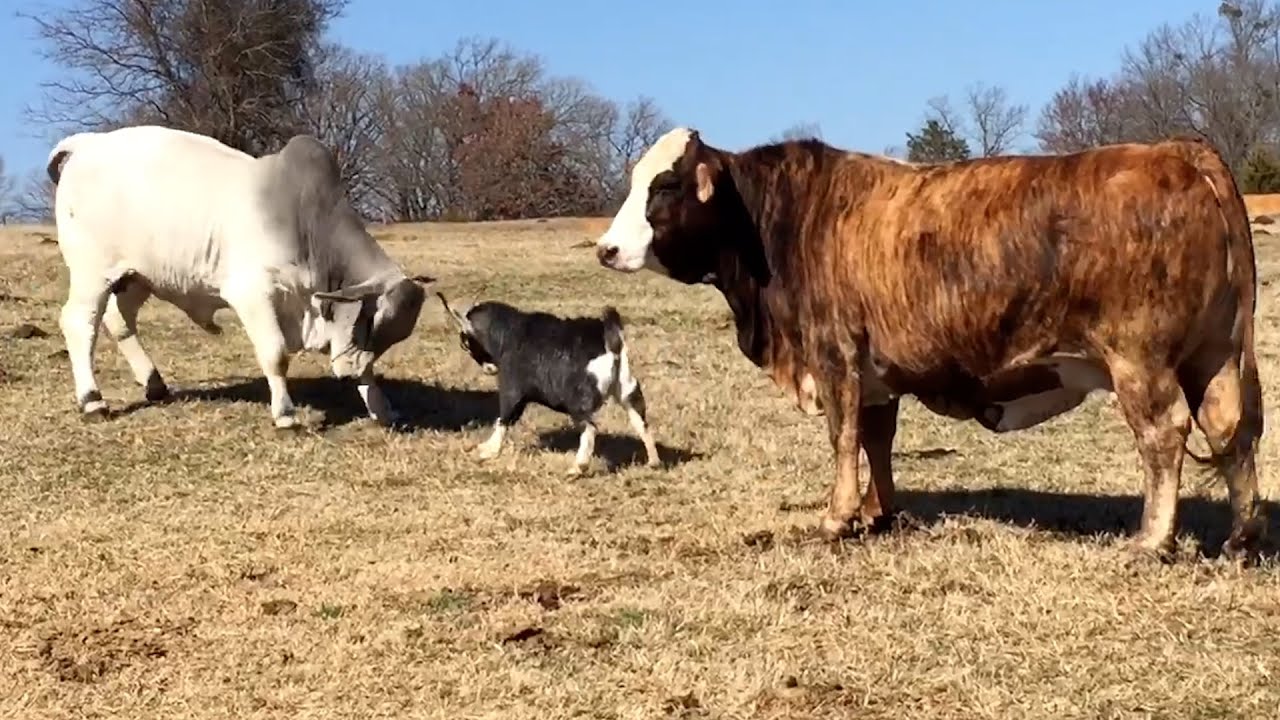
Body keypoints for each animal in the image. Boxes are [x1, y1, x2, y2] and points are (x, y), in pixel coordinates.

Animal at [46, 124, 435, 425]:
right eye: (369, 321)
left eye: (387, 334)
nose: (348, 373)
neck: (306, 225)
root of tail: (87, 144)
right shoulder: (253, 295)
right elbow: (276, 354)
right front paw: (286, 416)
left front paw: (382, 408)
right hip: (92, 274)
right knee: (80, 322)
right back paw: (93, 401)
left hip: (137, 276)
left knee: (119, 319)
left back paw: (154, 383)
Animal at [593, 126, 1264, 558]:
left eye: (665, 187)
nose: (606, 248)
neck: (782, 223)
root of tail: (1180, 150)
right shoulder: (875, 374)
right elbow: (876, 439)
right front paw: (875, 511)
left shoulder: (835, 354)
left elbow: (843, 437)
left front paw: (837, 516)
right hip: (1215, 356)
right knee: (1232, 432)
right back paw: (1240, 537)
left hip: (1140, 361)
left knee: (1165, 434)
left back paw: (1152, 540)